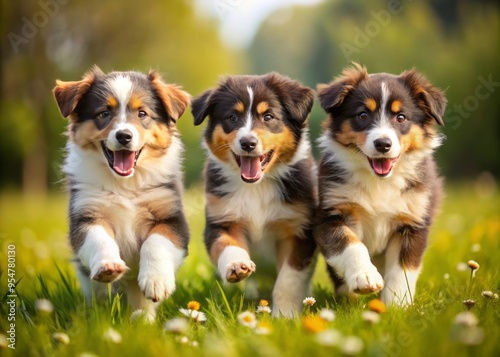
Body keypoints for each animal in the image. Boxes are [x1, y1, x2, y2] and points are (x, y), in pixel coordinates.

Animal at [52, 67, 189, 320]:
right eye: (104, 113)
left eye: (142, 113)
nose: (124, 136)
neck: (126, 184)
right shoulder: (86, 214)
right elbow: (99, 238)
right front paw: (108, 266)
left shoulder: (171, 218)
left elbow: (156, 242)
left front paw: (156, 281)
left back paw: (143, 320)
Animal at [190, 73, 316, 318]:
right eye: (232, 117)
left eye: (268, 117)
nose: (248, 143)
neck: (257, 187)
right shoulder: (221, 221)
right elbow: (226, 244)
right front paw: (236, 266)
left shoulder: (299, 230)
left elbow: (289, 280)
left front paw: (285, 316)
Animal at [314, 62, 448, 304]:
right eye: (363, 115)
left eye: (401, 118)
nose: (383, 144)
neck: (379, 182)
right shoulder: (330, 215)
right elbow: (350, 245)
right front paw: (363, 278)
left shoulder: (412, 222)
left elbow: (402, 270)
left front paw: (396, 305)